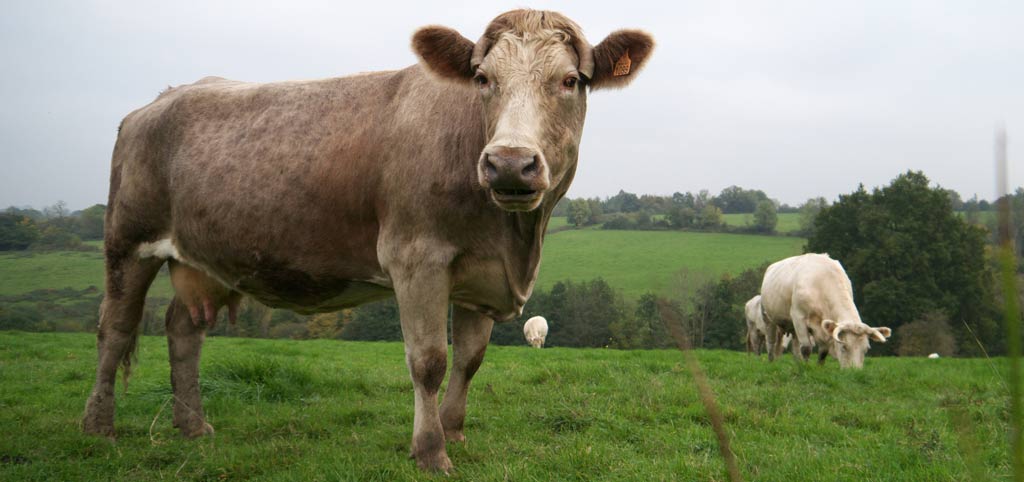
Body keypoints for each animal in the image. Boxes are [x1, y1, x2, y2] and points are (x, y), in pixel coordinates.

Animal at [80, 9, 654, 472]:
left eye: (570, 80)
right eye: (482, 78)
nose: (510, 162)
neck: (514, 239)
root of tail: (157, 101)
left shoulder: (481, 276)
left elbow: (469, 361)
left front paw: (454, 432)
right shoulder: (416, 258)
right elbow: (429, 360)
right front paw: (430, 451)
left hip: (204, 258)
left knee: (183, 331)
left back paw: (193, 426)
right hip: (127, 241)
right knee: (115, 329)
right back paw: (98, 428)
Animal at [759, 253, 891, 369]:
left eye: (866, 349)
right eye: (843, 347)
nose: (855, 372)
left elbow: (823, 351)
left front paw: (819, 368)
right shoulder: (798, 317)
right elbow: (806, 348)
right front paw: (807, 368)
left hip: (790, 326)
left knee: (794, 347)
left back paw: (798, 363)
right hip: (768, 319)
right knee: (771, 343)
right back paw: (772, 362)